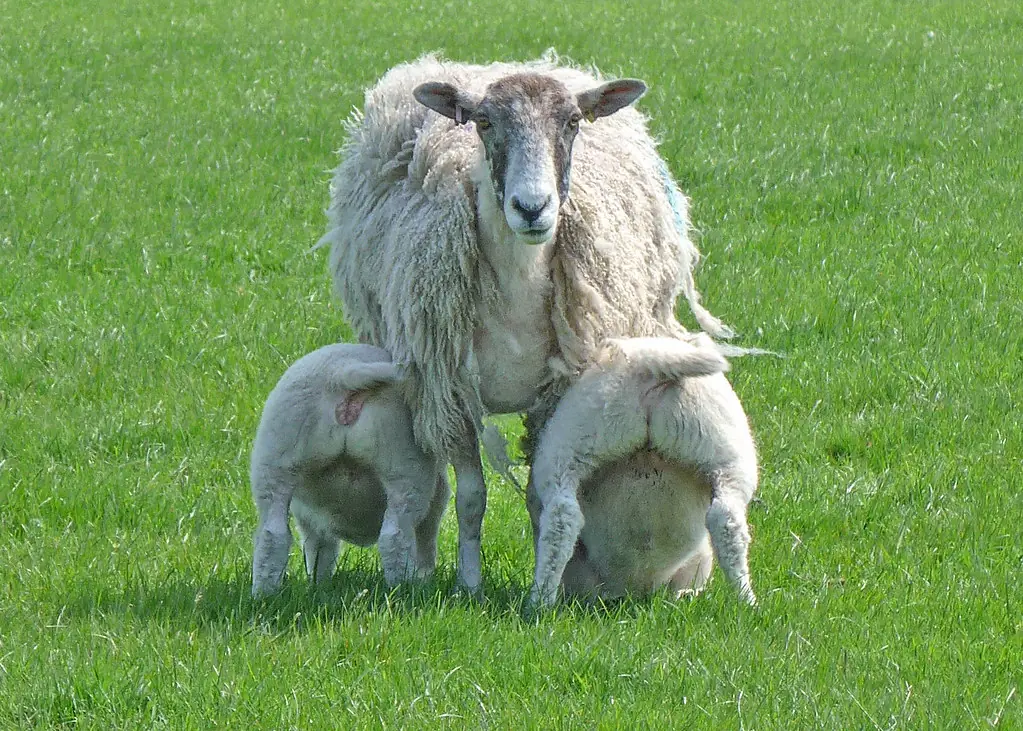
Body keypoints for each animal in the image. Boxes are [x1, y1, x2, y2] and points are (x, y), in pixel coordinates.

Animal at [250, 343, 450, 597]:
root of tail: (341, 374)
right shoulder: (438, 495)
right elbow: (427, 534)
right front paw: (426, 577)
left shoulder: (310, 518)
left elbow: (320, 550)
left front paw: (319, 584)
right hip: (404, 462)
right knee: (395, 535)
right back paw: (404, 588)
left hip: (276, 458)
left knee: (272, 536)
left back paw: (264, 594)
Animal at [321, 53, 734, 593]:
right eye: (483, 122)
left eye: (573, 122)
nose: (532, 208)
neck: (517, 291)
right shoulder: (452, 392)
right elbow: (471, 499)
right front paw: (470, 585)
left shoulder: (556, 390)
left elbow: (541, 495)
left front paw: (549, 580)